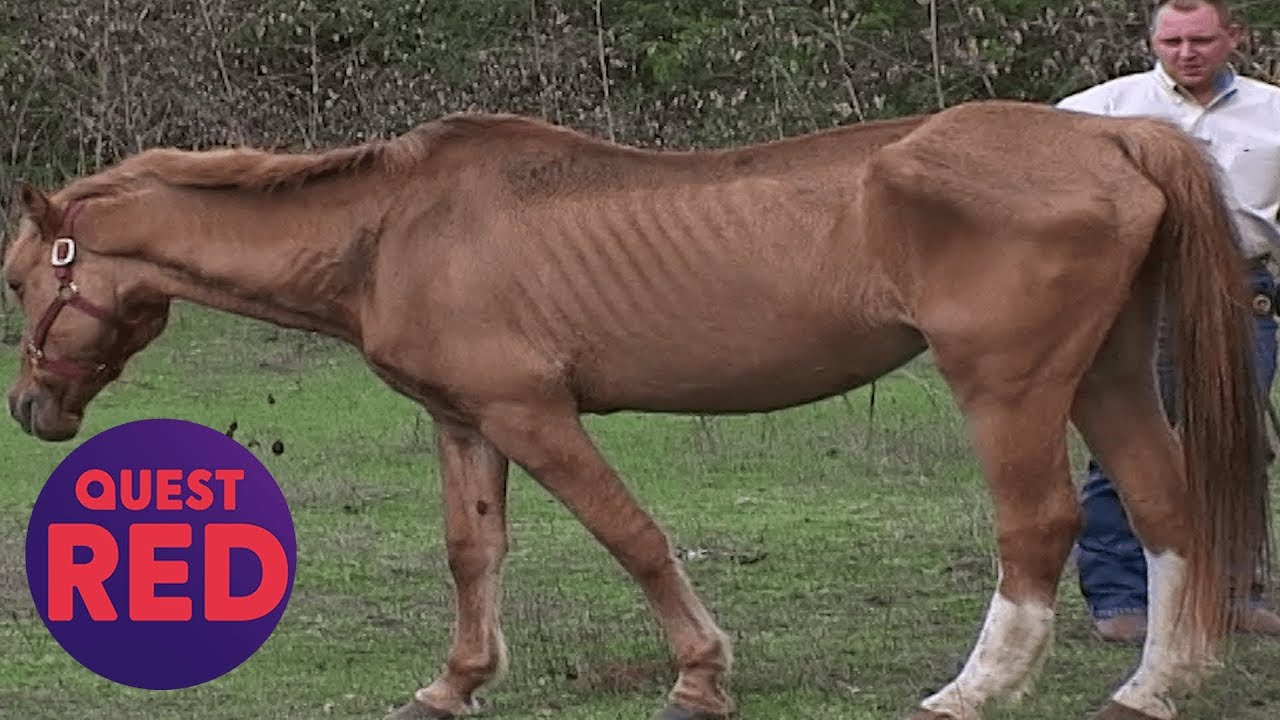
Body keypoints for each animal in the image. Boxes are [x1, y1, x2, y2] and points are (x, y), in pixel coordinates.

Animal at [3, 99, 1270, 720]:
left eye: (22, 280)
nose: (30, 410)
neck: (391, 227)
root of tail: (1108, 130)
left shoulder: (532, 415)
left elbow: (632, 536)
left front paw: (700, 676)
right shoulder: (465, 423)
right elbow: (471, 553)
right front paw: (454, 684)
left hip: (1006, 387)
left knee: (1038, 528)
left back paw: (973, 690)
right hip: (1105, 375)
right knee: (1163, 507)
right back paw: (1153, 687)